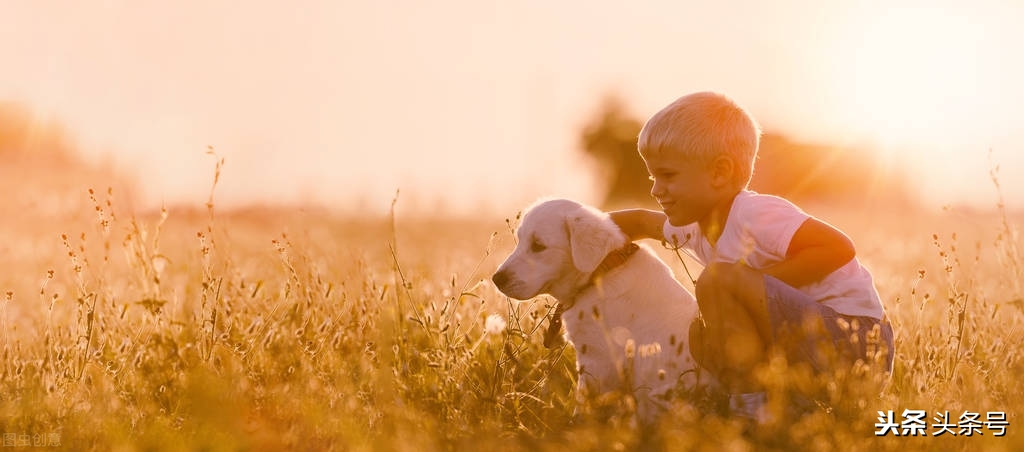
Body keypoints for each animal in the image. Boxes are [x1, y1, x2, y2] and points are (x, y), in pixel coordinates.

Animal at [491, 197, 708, 422]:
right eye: (520, 241)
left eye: (538, 246)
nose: (497, 279)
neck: (599, 273)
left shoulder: (597, 360)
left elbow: (585, 403)